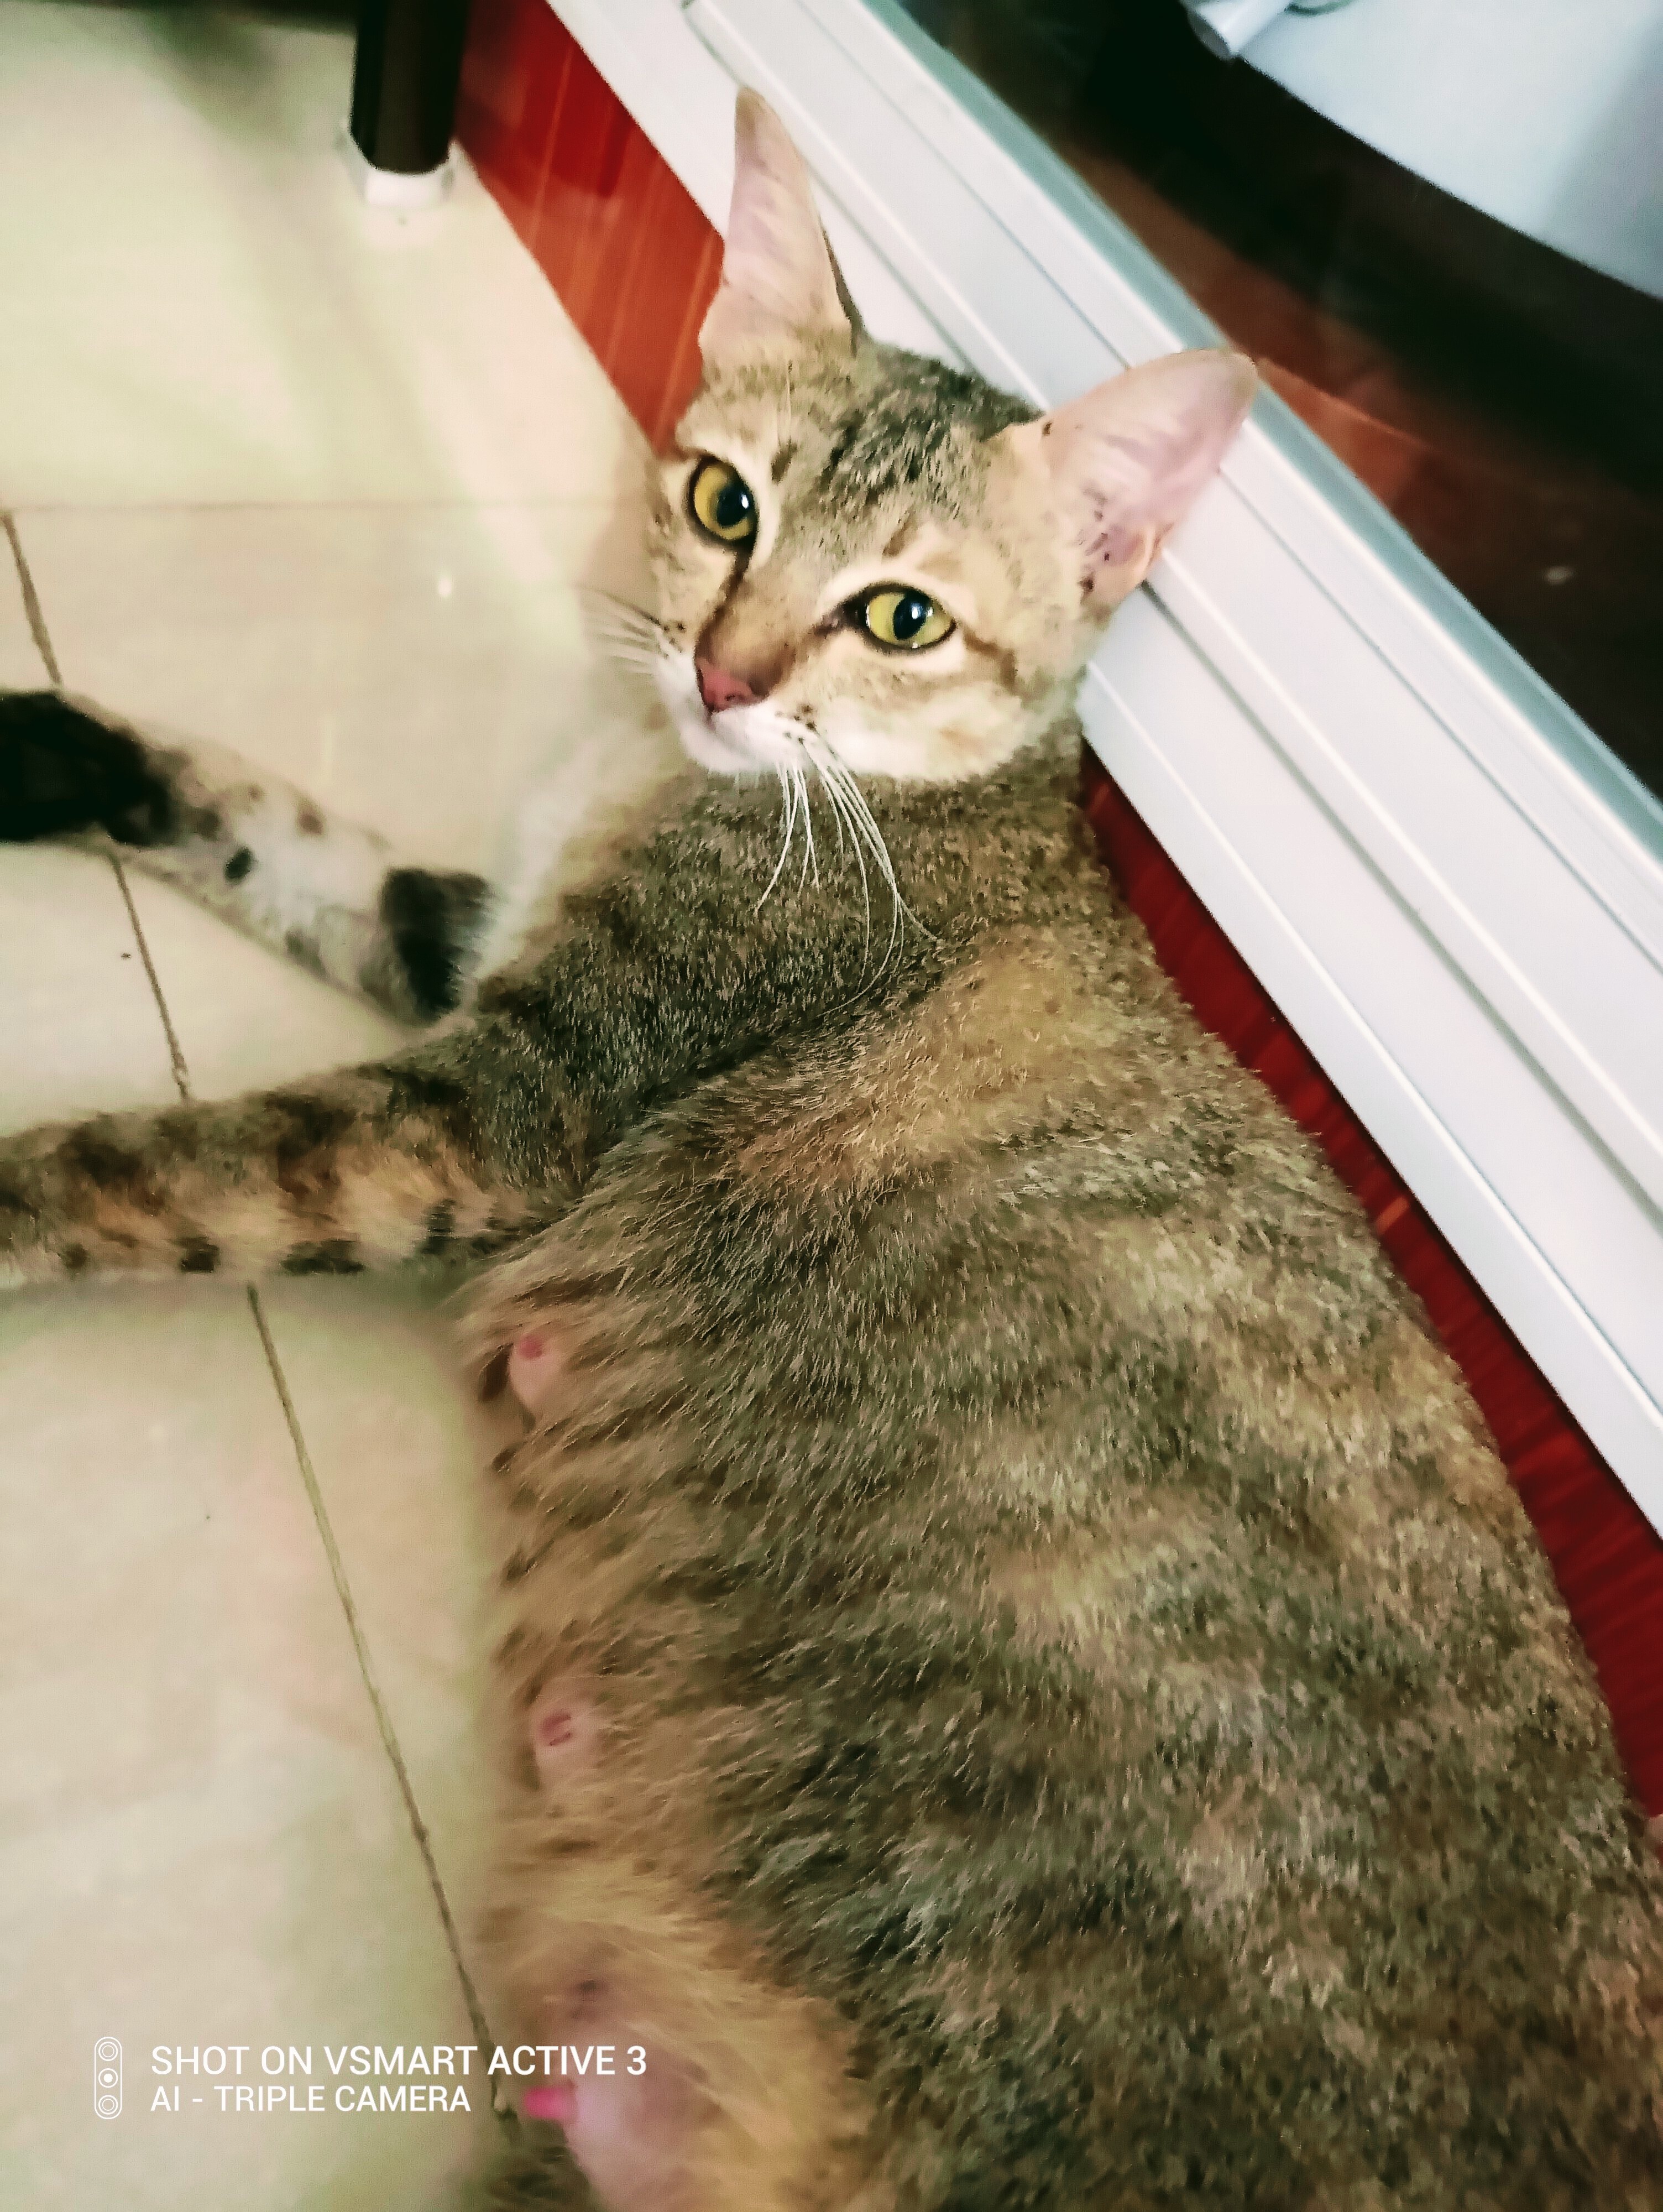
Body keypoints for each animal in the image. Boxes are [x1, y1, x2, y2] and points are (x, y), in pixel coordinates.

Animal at [3, 91, 1662, 2212]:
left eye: (899, 615)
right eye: (727, 506)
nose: (723, 673)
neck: (670, 778)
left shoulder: (496, 1102)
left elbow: (154, 1164)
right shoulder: (459, 948)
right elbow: (261, 822)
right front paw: (35, 750)